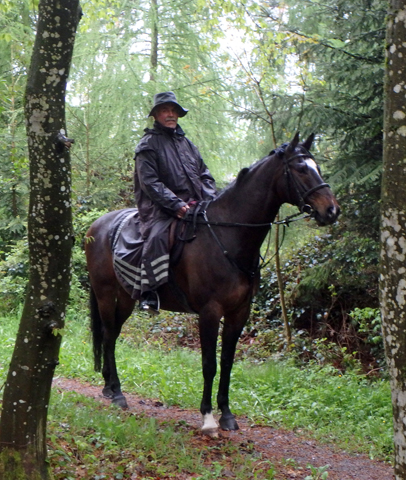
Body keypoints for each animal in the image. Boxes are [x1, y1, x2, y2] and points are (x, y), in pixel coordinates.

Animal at [85, 133, 340, 436]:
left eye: (318, 168)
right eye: (301, 169)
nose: (331, 211)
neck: (228, 235)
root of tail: (96, 226)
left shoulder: (239, 312)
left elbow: (227, 362)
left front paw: (227, 415)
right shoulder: (209, 312)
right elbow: (209, 363)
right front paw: (207, 418)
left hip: (126, 297)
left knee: (111, 336)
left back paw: (110, 388)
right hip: (105, 293)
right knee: (108, 335)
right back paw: (117, 393)